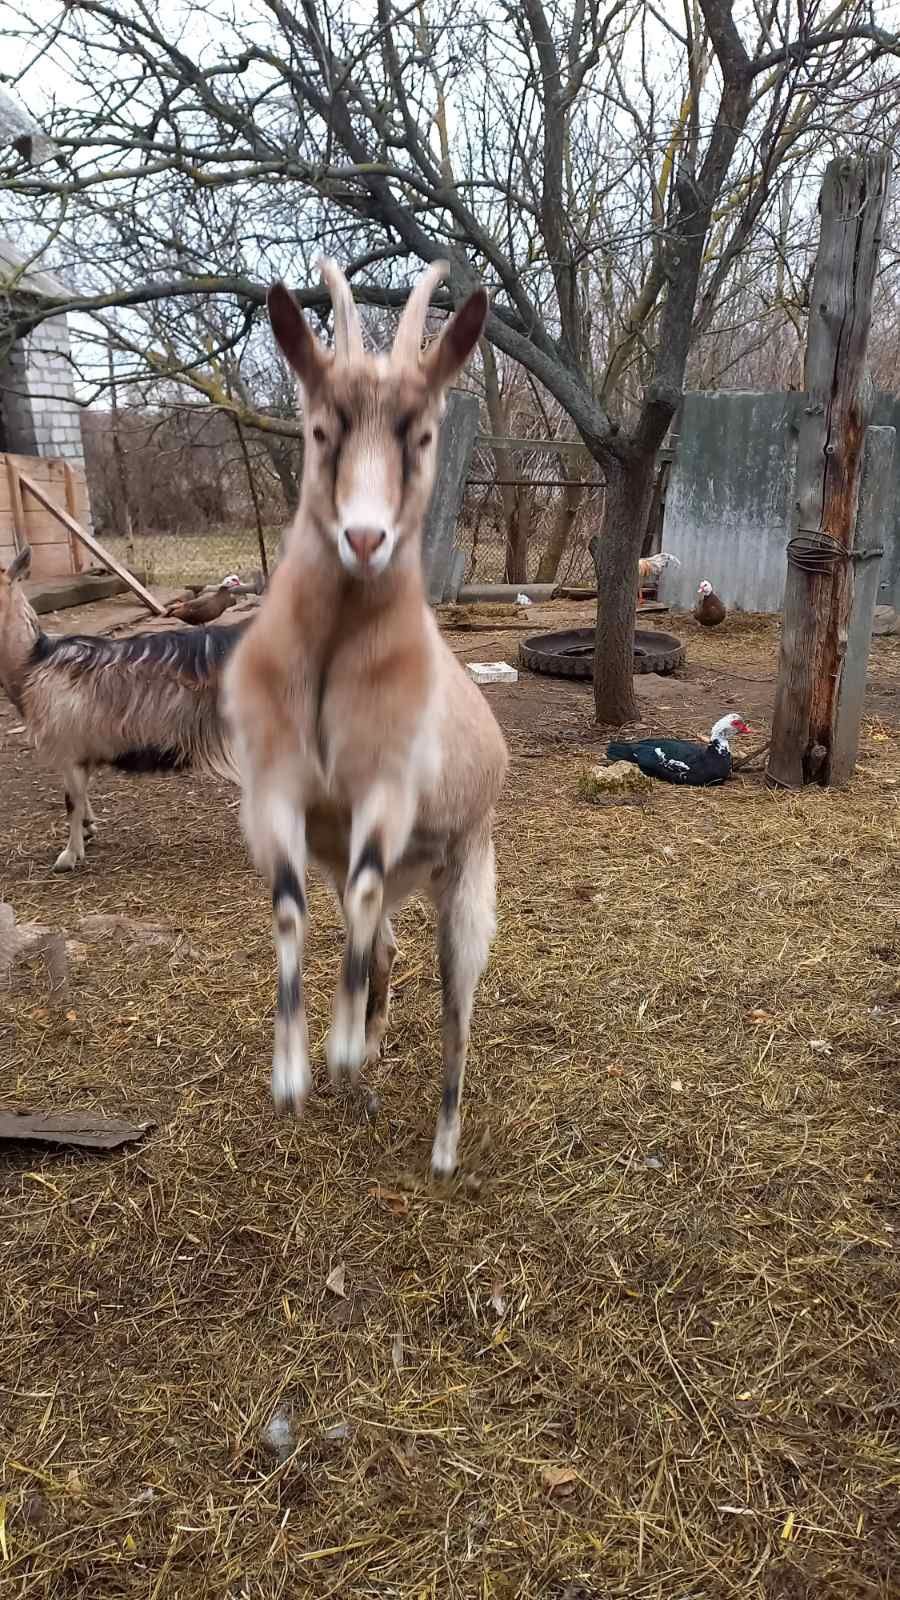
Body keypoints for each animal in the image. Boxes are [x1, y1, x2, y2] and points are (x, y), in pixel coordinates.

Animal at [222, 265, 506, 1177]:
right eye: (319, 431)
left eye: (423, 435)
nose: (366, 538)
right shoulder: (271, 790)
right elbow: (290, 907)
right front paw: (296, 1071)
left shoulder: (387, 788)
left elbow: (363, 883)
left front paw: (341, 1047)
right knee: (381, 942)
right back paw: (371, 1044)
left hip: (466, 882)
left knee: (455, 1010)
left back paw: (443, 1144)